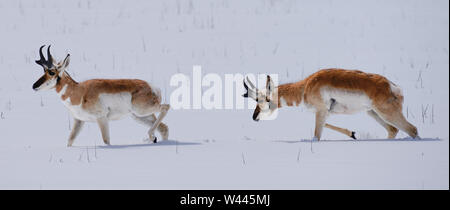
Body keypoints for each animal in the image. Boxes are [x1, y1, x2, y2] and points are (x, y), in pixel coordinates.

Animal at [31, 45, 169, 146]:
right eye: (43, 71)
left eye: (51, 72)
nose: (34, 86)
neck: (79, 91)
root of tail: (152, 87)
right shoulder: (79, 120)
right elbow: (70, 141)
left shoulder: (101, 118)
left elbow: (106, 141)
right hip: (139, 116)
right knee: (164, 127)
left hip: (142, 111)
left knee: (166, 107)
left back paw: (150, 137)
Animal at [244, 69, 420, 141]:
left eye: (265, 99)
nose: (254, 117)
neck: (305, 86)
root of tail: (392, 86)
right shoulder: (324, 112)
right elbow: (325, 125)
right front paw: (352, 134)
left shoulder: (321, 111)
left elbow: (316, 136)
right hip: (372, 113)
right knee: (393, 130)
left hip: (386, 113)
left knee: (412, 129)